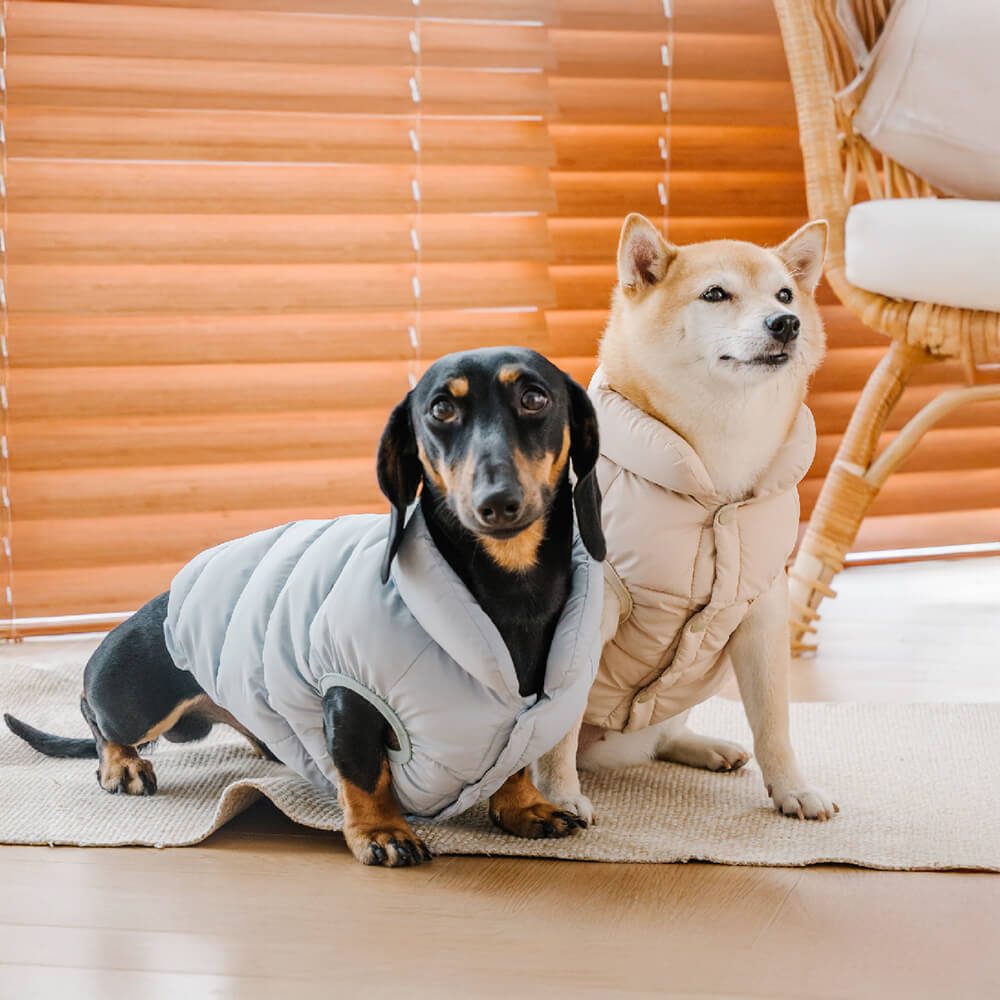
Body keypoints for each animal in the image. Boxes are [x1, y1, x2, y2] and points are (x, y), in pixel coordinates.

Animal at [536, 215, 840, 824]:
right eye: (716, 294)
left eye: (785, 295)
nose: (787, 323)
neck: (713, 487)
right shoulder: (591, 608)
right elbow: (559, 725)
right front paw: (559, 796)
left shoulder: (762, 607)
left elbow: (775, 721)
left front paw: (792, 789)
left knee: (660, 739)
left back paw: (704, 747)